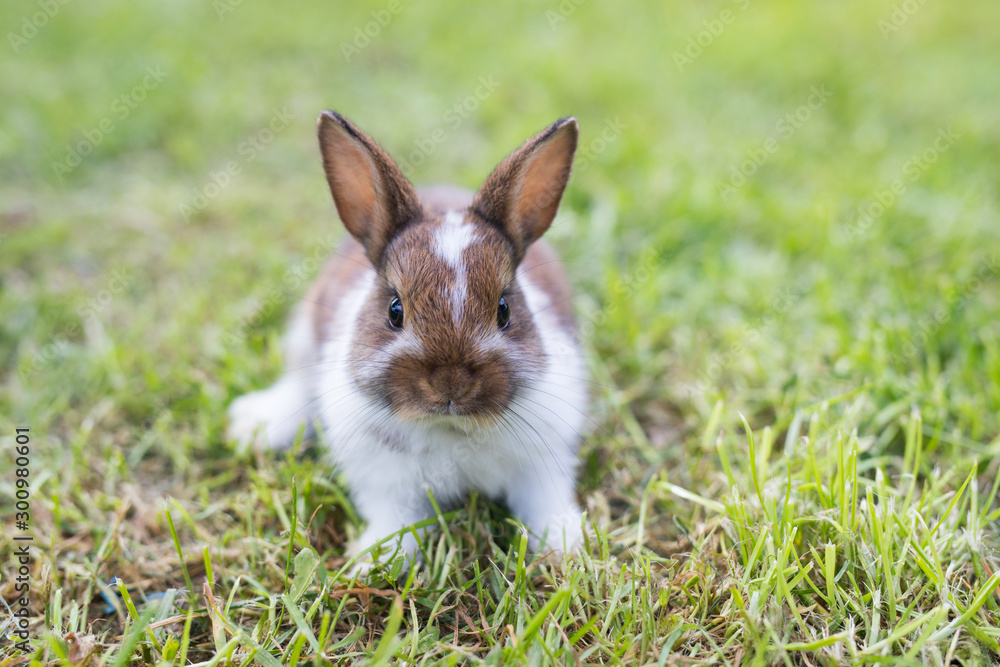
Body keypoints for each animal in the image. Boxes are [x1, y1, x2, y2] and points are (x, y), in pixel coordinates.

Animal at [227, 111, 588, 571]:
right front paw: (375, 560)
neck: (451, 427)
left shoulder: (544, 460)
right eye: (394, 311)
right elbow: (395, 519)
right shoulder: (385, 480)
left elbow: (546, 502)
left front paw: (565, 548)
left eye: (505, 310)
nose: (451, 383)